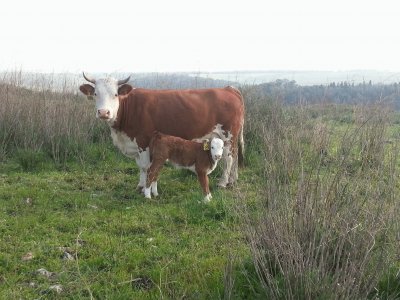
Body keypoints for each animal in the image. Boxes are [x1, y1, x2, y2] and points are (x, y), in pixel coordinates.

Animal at [79, 71, 244, 191]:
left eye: (115, 94)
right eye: (95, 94)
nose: (103, 112)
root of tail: (229, 89)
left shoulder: (144, 141)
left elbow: (145, 166)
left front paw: (144, 188)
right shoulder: (135, 143)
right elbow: (140, 166)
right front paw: (140, 185)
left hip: (228, 135)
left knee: (228, 158)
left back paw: (223, 182)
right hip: (231, 137)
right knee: (235, 156)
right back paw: (233, 180)